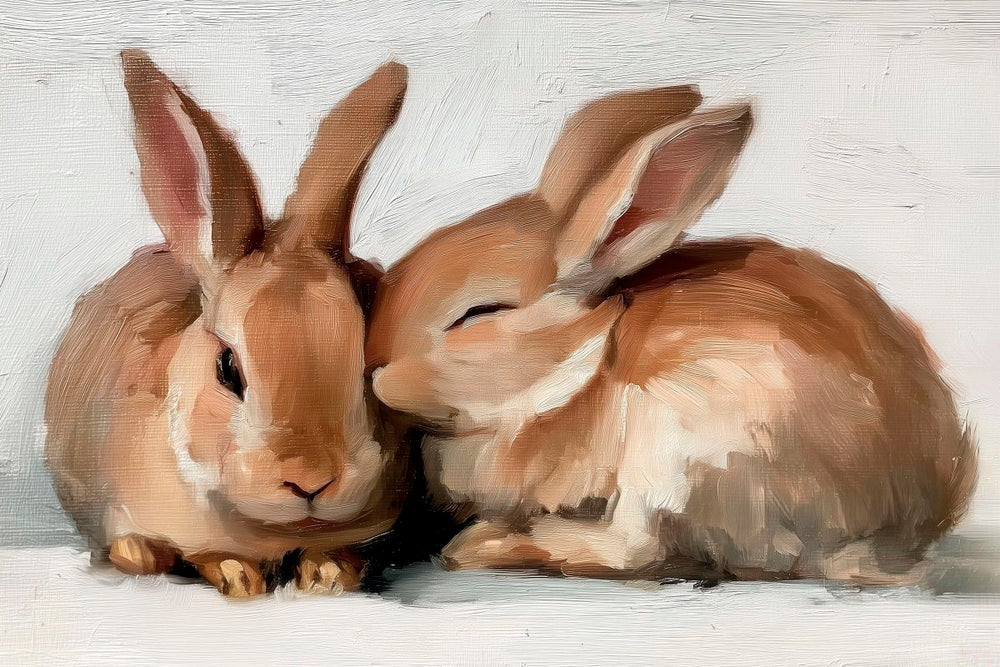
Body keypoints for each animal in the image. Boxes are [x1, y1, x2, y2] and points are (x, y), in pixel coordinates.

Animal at [44, 50, 410, 597]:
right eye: (228, 370)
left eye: (367, 366)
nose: (311, 480)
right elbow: (203, 554)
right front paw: (240, 578)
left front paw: (325, 576)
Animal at [364, 84, 978, 585]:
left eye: (479, 312)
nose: (376, 372)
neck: (582, 364)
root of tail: (891, 533)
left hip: (684, 441)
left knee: (633, 550)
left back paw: (484, 545)